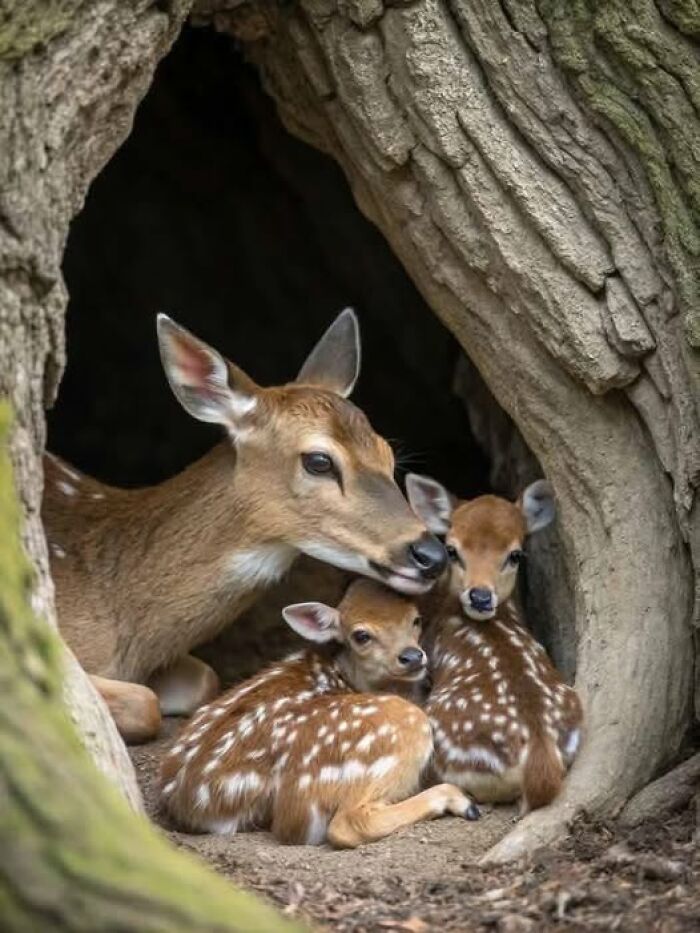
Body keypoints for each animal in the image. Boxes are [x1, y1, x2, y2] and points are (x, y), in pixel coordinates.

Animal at [159, 578, 480, 847]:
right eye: (361, 635)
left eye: (415, 619)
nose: (412, 656)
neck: (351, 678)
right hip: (395, 728)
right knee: (347, 822)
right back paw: (460, 801)